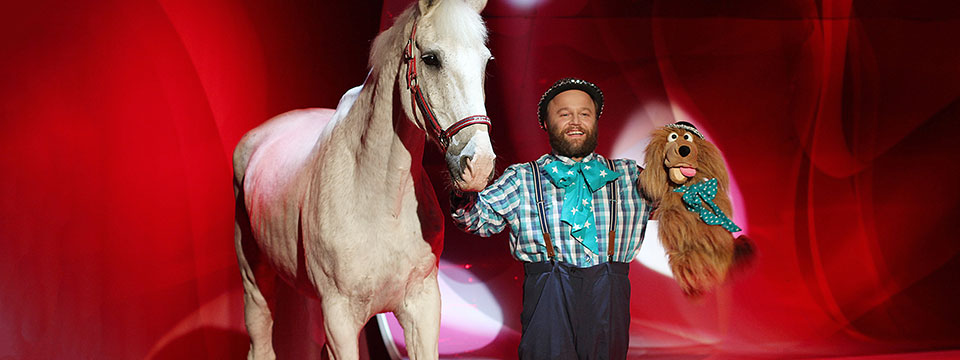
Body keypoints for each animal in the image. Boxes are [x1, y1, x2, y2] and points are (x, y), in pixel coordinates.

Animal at [232, 1, 496, 358]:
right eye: (431, 59)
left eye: (485, 60)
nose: (478, 164)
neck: (381, 203)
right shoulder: (340, 320)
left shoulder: (423, 307)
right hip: (254, 281)